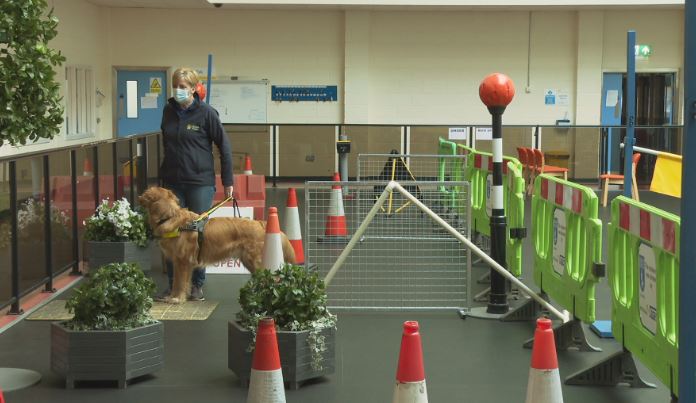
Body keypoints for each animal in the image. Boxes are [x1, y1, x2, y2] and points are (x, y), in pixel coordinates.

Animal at [139, 186, 296, 304]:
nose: (139, 197)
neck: (170, 217)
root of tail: (260, 223)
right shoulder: (181, 262)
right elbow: (180, 282)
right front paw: (173, 296)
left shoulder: (182, 261)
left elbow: (179, 282)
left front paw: (176, 298)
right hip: (249, 261)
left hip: (255, 260)